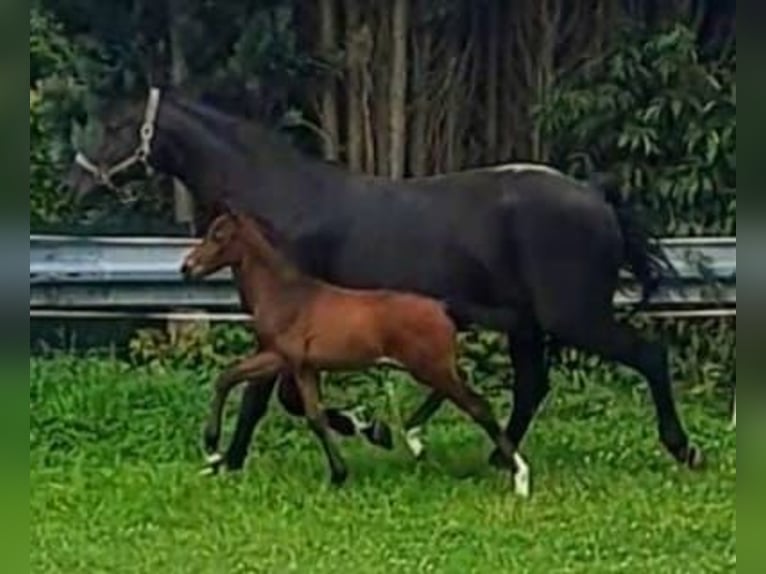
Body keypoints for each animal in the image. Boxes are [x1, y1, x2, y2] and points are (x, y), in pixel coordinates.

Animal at [182, 212, 528, 496]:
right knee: (461, 388)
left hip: (429, 367)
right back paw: (414, 438)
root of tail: (443, 307)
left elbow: (309, 414)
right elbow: (235, 382)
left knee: (479, 406)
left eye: (219, 235)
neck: (286, 296)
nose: (187, 268)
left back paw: (520, 478)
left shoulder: (291, 361)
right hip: (432, 367)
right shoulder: (291, 362)